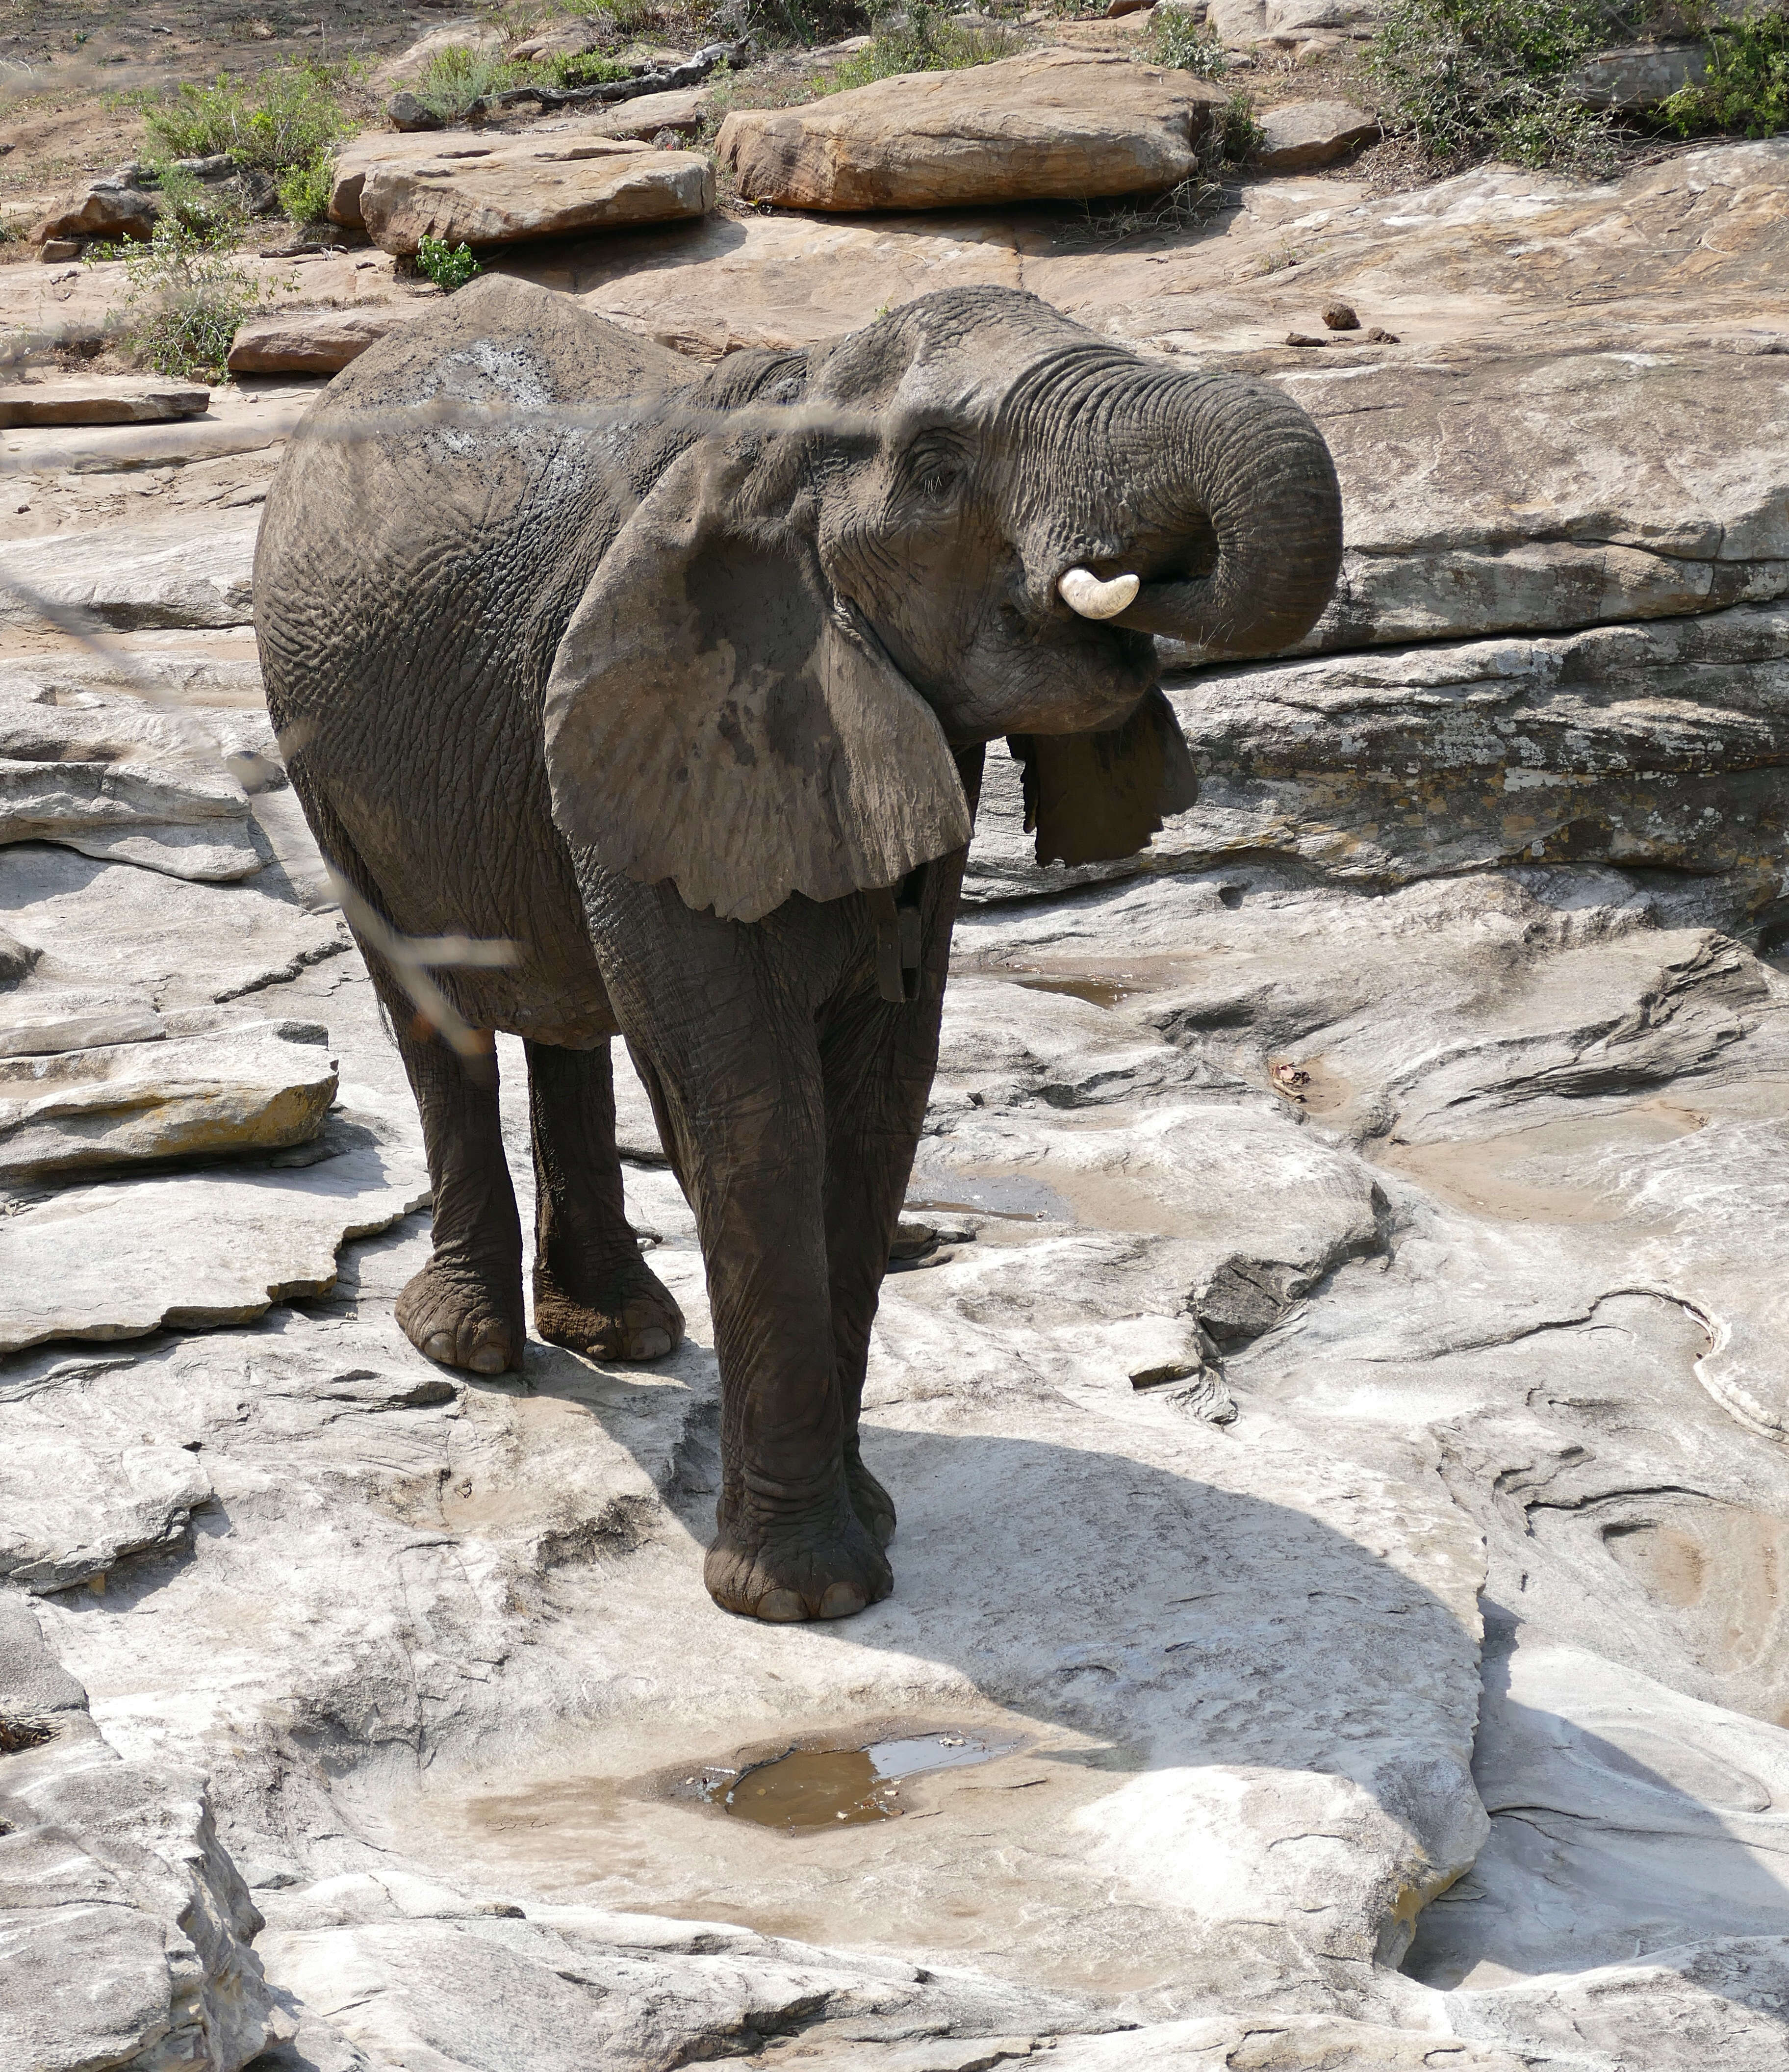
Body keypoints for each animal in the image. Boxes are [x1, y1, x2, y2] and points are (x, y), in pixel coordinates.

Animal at [255, 280, 1342, 1616]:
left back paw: (624, 1333)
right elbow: (755, 1111)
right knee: (430, 1003)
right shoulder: (676, 716)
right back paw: (469, 1345)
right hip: (316, 744)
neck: (792, 412)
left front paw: (867, 1524)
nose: (1140, 584)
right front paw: (807, 1596)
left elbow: (879, 1102)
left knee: (566, 1010)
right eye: (937, 467)